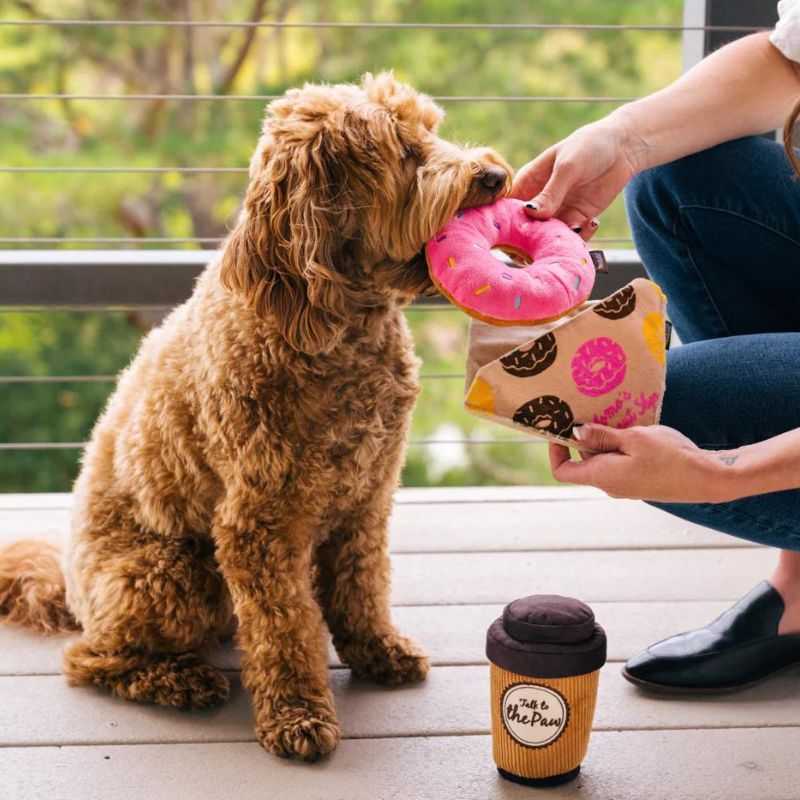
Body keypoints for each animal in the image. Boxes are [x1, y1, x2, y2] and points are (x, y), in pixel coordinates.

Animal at [0, 73, 512, 764]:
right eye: (405, 151)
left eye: (432, 130)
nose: (494, 175)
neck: (337, 325)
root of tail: (72, 591)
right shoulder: (261, 522)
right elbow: (284, 626)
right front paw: (297, 714)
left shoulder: (367, 496)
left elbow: (362, 585)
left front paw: (376, 651)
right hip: (171, 573)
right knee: (89, 659)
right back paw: (179, 680)